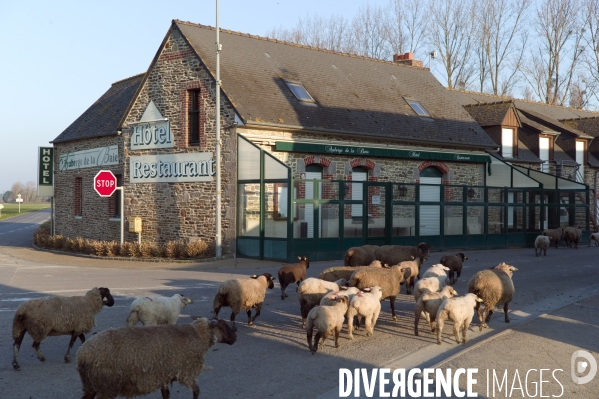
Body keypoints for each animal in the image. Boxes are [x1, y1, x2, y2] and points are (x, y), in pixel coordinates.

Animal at [74, 318, 234, 399]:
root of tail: (82, 353)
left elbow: (166, 394)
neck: (198, 335)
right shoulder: (186, 374)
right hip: (106, 386)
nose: (235, 337)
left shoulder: (164, 375)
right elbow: (196, 391)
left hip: (91, 385)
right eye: (222, 326)